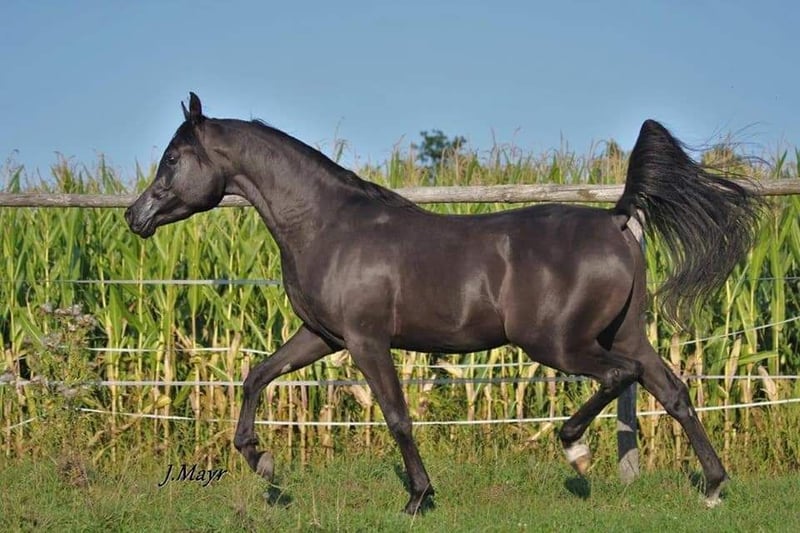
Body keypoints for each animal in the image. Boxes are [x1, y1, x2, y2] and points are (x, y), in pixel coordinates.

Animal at [126, 93, 762, 514]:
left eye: (173, 158)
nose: (136, 216)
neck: (328, 226)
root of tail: (615, 220)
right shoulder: (321, 336)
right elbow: (256, 374)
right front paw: (261, 462)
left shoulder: (365, 341)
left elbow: (396, 414)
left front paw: (418, 497)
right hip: (625, 331)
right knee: (672, 391)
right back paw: (713, 487)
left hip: (559, 343)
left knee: (619, 377)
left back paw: (575, 450)